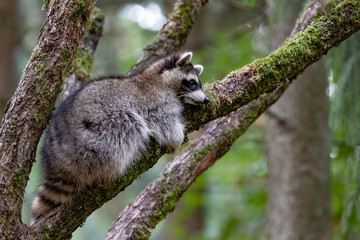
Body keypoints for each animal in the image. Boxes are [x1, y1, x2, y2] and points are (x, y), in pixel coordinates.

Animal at [32, 51, 210, 224]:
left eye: (198, 83)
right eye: (192, 82)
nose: (207, 100)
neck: (159, 78)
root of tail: (57, 161)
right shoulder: (157, 101)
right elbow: (162, 121)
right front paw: (176, 137)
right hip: (95, 137)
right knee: (127, 124)